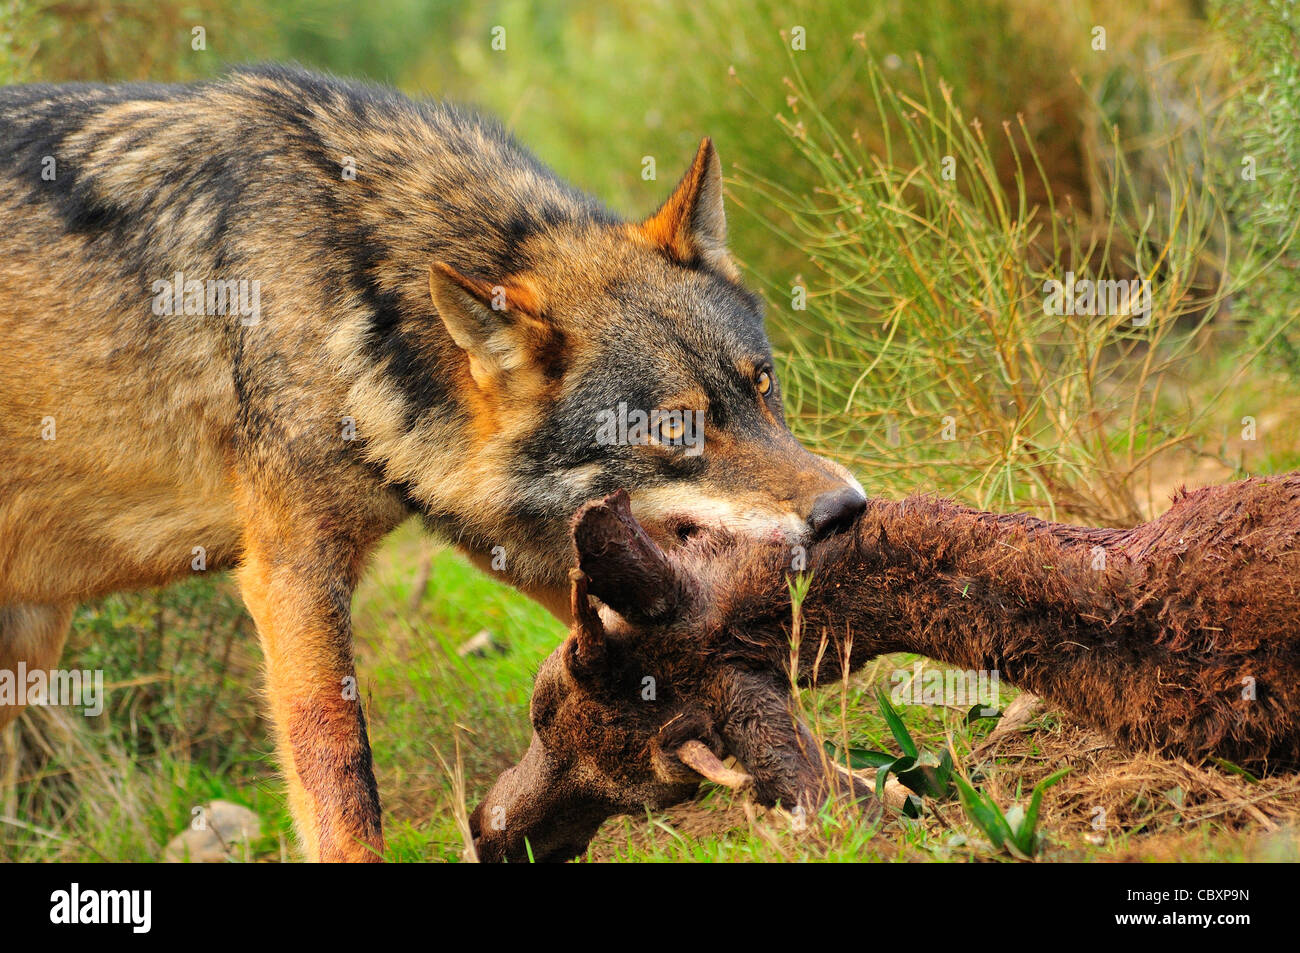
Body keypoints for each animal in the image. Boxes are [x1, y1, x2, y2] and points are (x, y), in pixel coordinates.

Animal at [0, 63, 863, 858]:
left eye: (764, 384)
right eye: (677, 429)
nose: (847, 510)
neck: (358, 275)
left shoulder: (513, 540)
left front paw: (847, 788)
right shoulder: (292, 570)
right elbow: (342, 775)